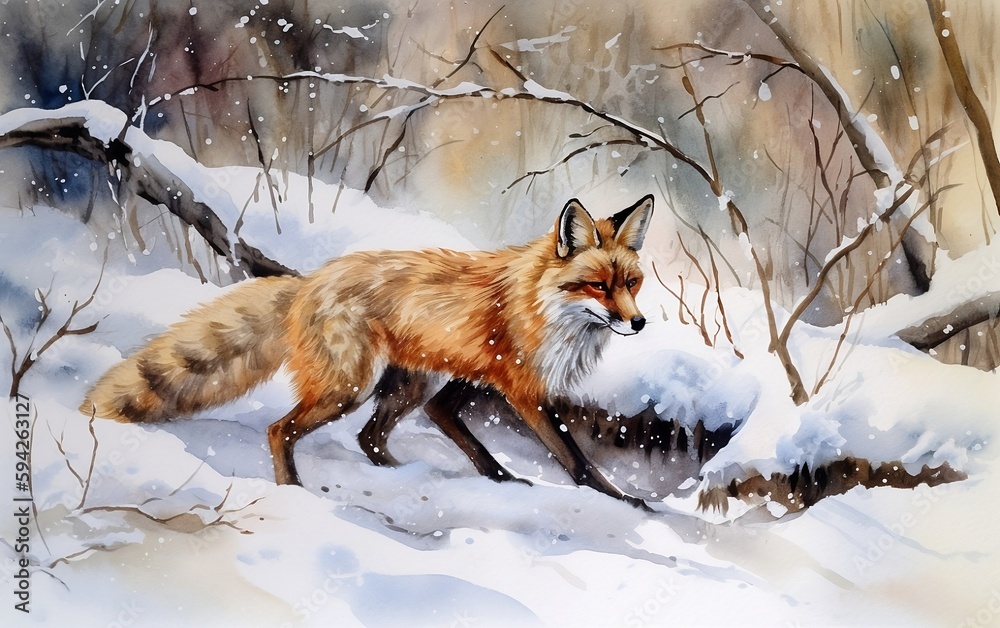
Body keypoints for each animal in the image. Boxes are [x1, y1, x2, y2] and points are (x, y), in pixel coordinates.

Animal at [81, 195, 654, 506]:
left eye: (632, 283)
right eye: (598, 286)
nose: (640, 322)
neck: (546, 308)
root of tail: (309, 280)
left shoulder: (463, 380)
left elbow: (466, 435)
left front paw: (502, 480)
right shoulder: (523, 388)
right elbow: (576, 459)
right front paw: (624, 501)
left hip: (407, 385)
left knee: (369, 437)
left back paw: (399, 474)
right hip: (350, 387)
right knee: (281, 430)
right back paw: (293, 491)